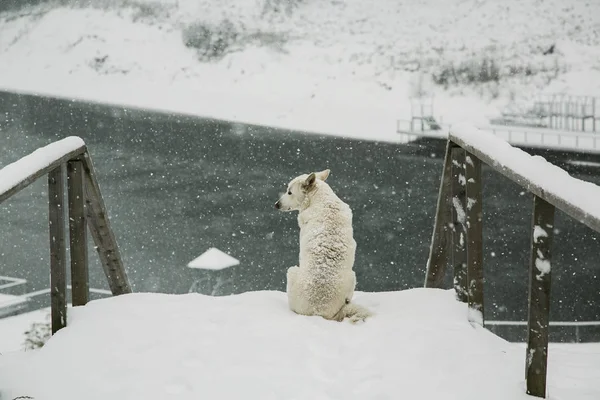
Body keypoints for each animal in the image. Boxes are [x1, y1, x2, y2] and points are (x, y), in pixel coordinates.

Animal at [276, 169, 370, 322]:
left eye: (289, 192)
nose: (276, 204)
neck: (320, 199)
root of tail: (318, 312)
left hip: (292, 271)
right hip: (352, 276)